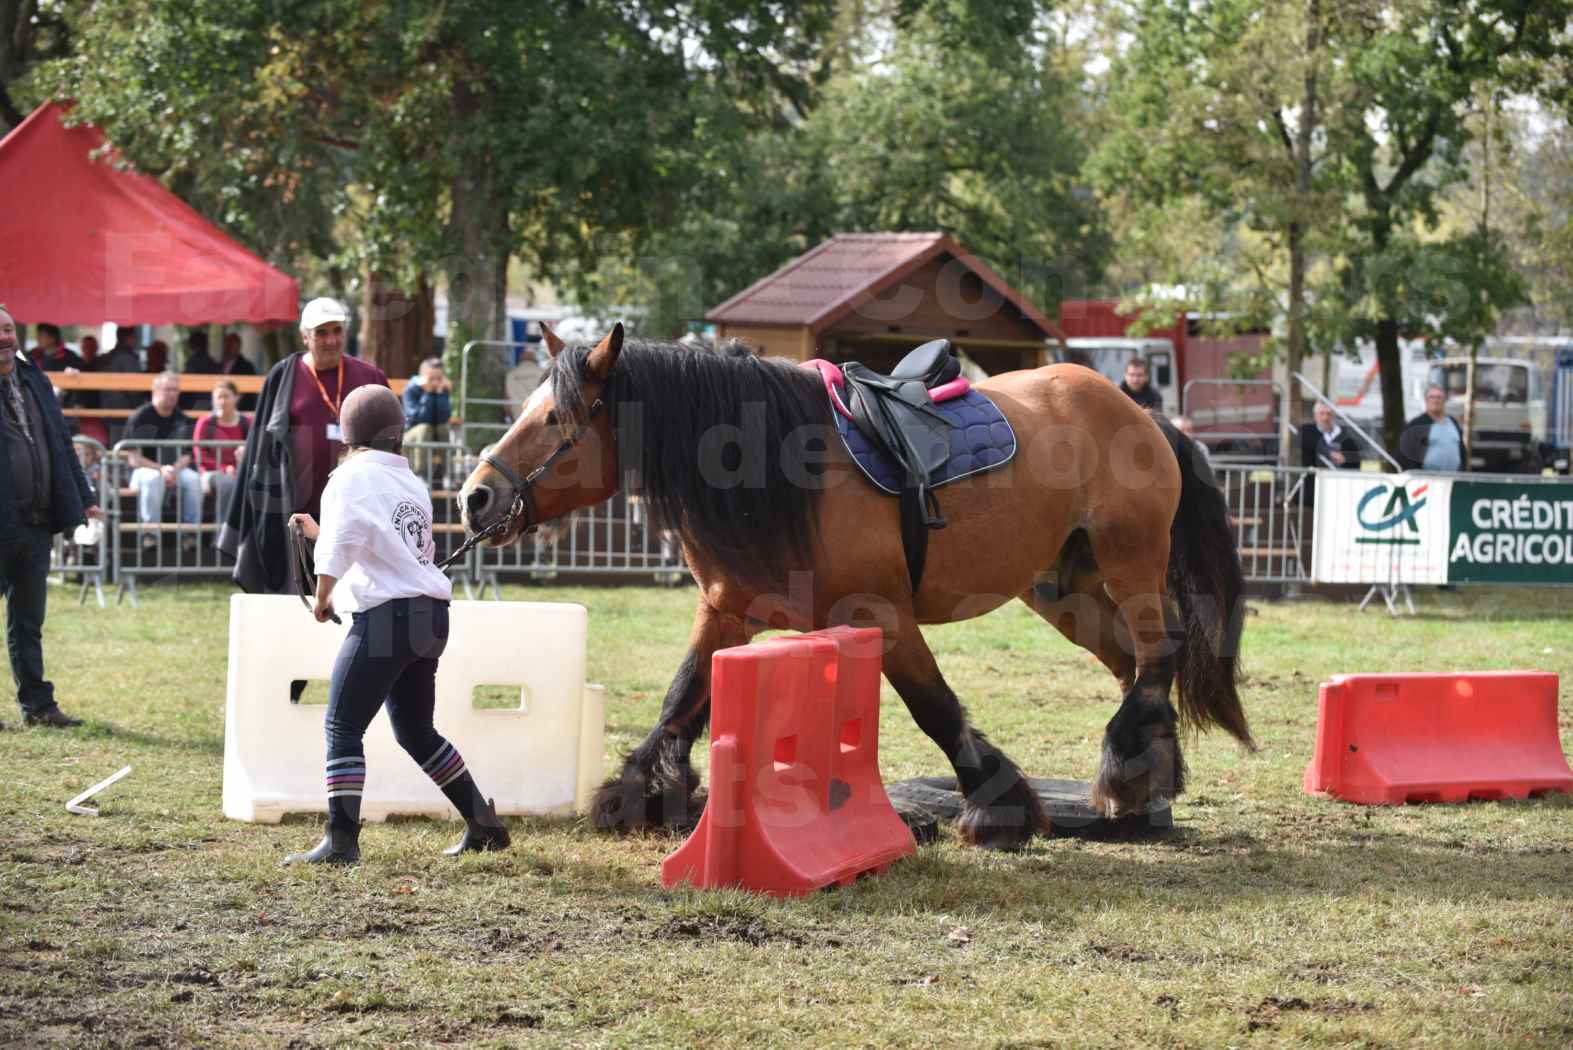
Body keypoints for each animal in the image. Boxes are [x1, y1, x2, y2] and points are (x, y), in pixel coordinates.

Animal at [459, 323, 1252, 848]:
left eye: (554, 418)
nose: (474, 498)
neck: (783, 472)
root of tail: (1141, 412)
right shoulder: (725, 611)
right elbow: (681, 701)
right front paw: (642, 795)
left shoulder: (885, 616)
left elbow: (937, 711)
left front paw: (998, 808)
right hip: (1064, 588)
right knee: (1132, 665)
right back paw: (1144, 779)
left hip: (1129, 562)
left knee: (1158, 652)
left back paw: (1129, 770)